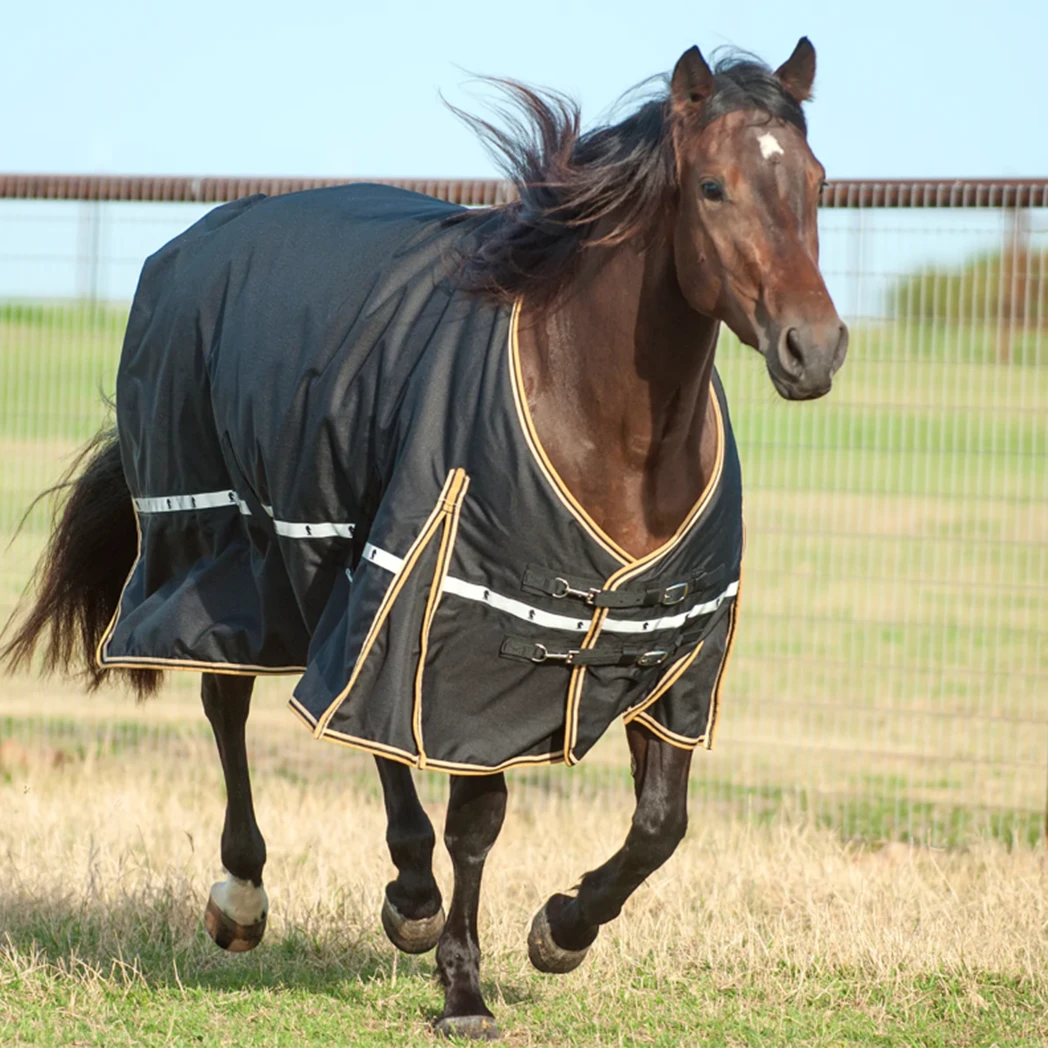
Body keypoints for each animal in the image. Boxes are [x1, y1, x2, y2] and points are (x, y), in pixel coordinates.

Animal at [2, 39, 846, 1041]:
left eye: (818, 181)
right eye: (713, 187)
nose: (814, 347)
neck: (602, 417)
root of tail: (198, 238)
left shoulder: (669, 651)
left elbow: (660, 824)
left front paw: (561, 929)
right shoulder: (470, 640)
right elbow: (477, 817)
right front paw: (465, 991)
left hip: (348, 562)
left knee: (360, 722)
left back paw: (406, 895)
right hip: (236, 547)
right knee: (230, 699)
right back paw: (250, 897)